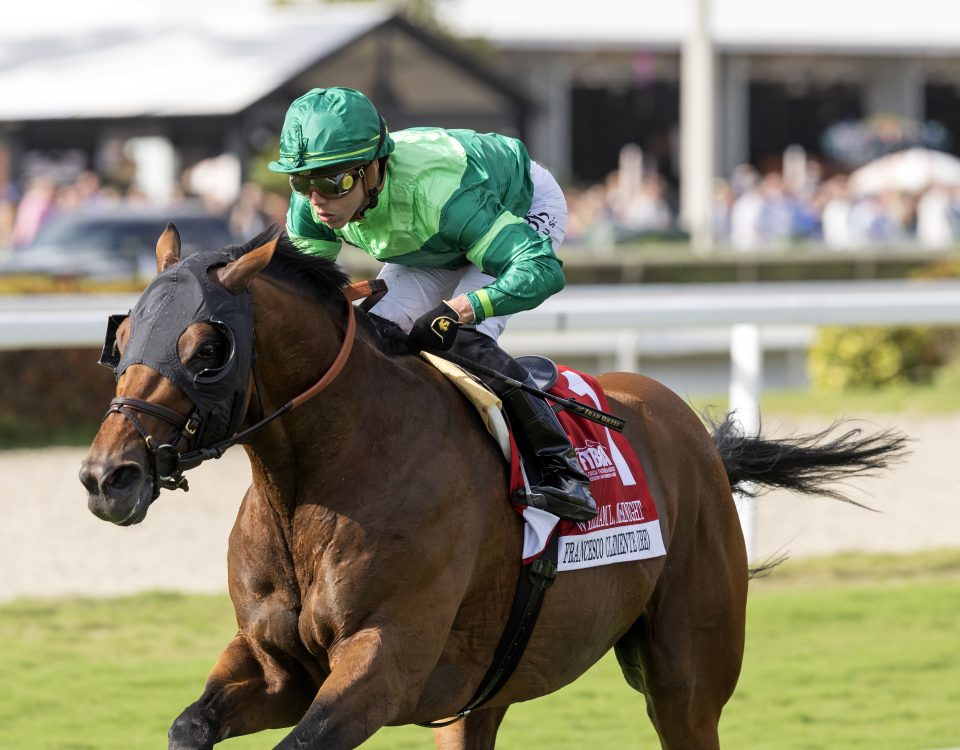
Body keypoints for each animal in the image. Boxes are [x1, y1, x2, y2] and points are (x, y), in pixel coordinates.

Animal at [79, 228, 904, 750]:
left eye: (205, 348)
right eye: (122, 337)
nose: (107, 476)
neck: (316, 480)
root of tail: (692, 430)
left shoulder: (384, 664)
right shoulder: (280, 667)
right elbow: (190, 723)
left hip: (686, 677)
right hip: (476, 700)